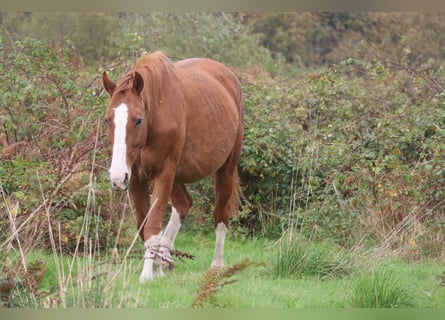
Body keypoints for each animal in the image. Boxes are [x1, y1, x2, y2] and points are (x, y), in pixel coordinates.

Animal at [101, 51, 243, 282]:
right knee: (184, 204)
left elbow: (152, 225)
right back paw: (165, 259)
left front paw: (147, 275)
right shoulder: (136, 179)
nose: (116, 177)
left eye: (138, 120)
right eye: (107, 120)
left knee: (220, 215)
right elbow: (144, 226)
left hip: (226, 170)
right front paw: (156, 268)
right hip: (176, 177)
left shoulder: (163, 174)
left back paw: (217, 266)